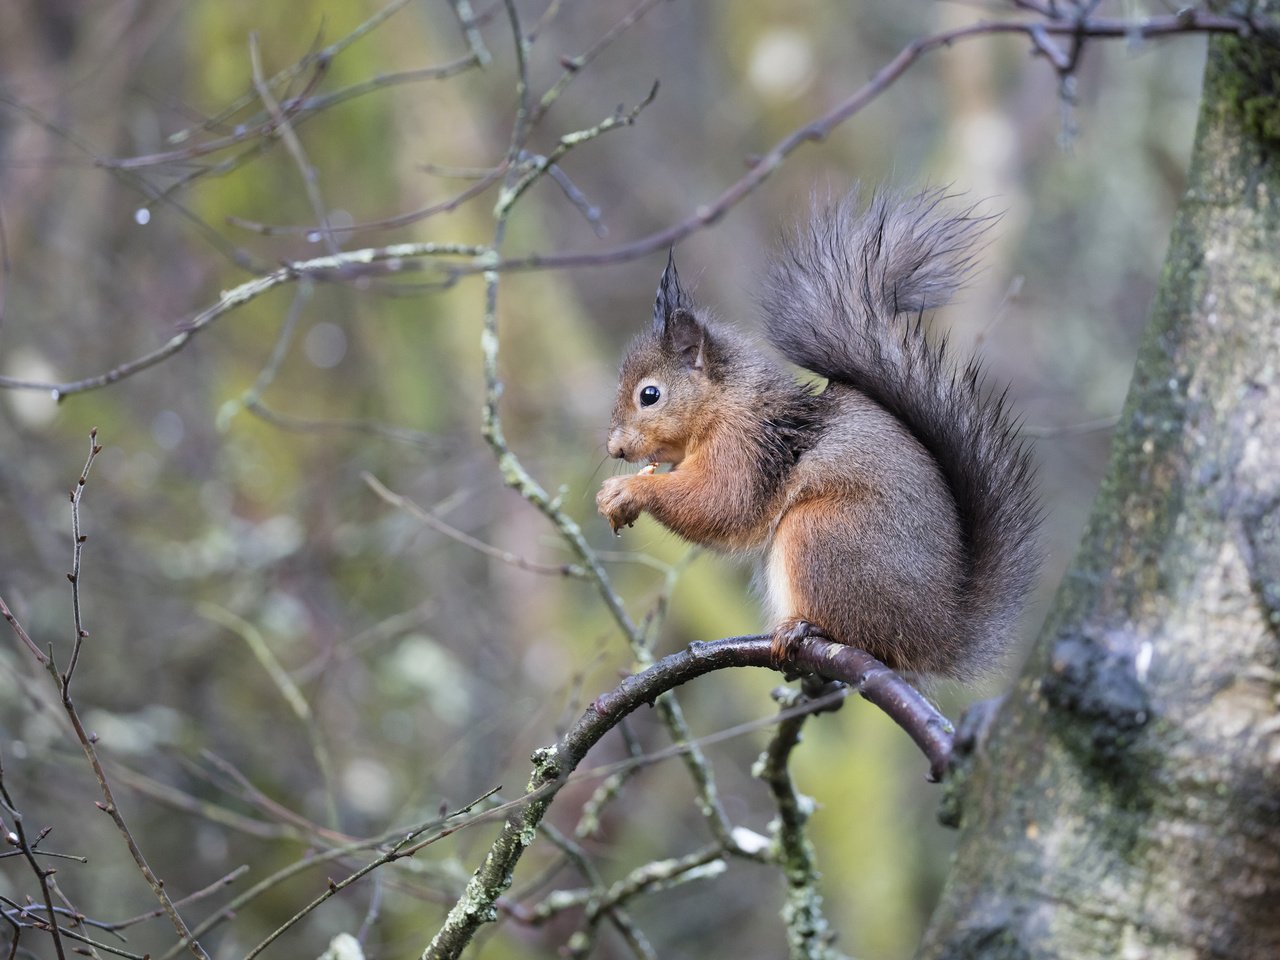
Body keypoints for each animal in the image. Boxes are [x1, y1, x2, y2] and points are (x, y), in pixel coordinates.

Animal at [596, 189, 1039, 686]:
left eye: (649, 395)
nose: (614, 449)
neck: (724, 401)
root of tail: (936, 635)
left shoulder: (744, 446)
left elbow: (722, 503)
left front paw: (628, 490)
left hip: (823, 534)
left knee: (861, 632)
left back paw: (805, 628)